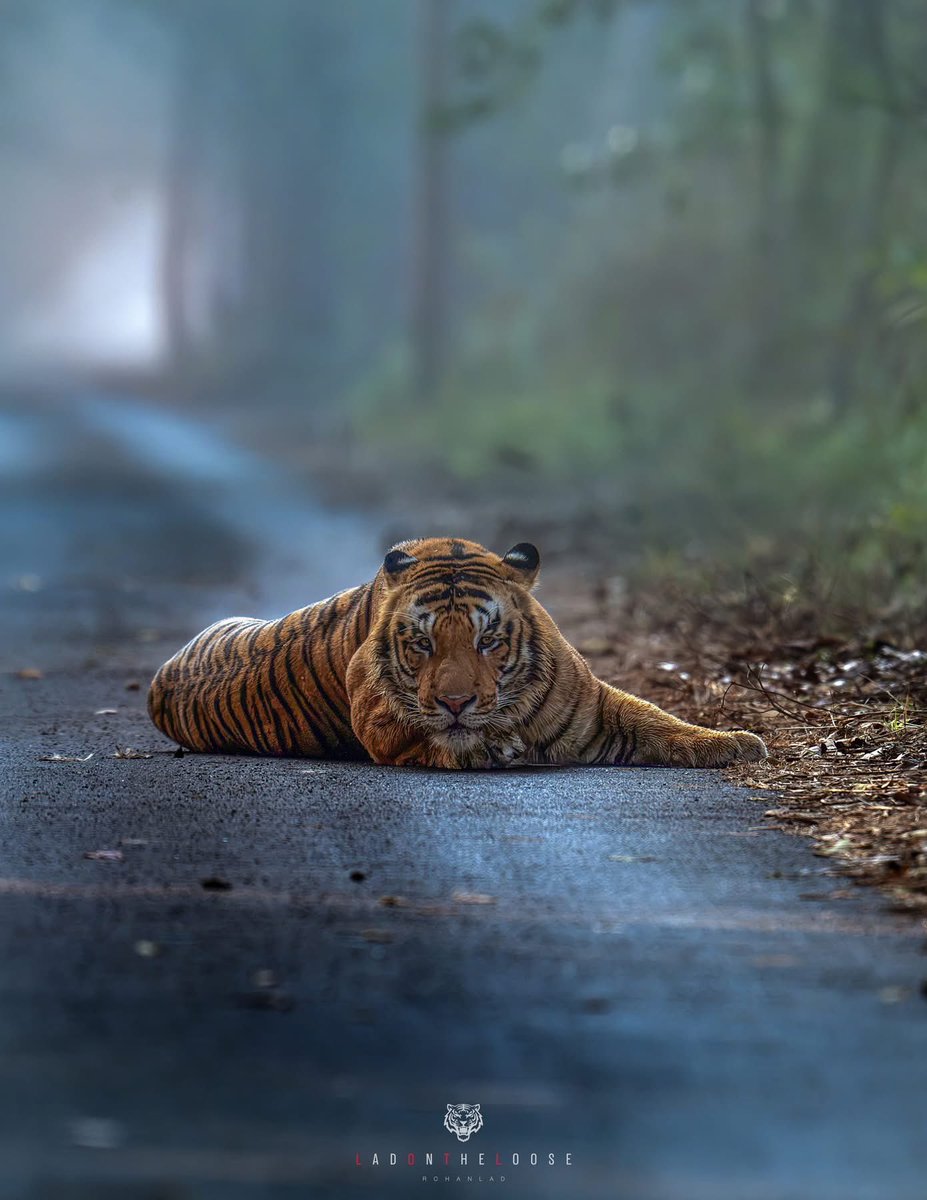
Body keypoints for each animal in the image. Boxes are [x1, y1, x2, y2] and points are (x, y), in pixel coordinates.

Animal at [148, 536, 767, 769]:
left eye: (487, 640)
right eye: (421, 644)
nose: (455, 703)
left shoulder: (593, 710)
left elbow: (657, 717)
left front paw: (735, 743)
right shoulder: (384, 726)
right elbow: (442, 742)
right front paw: (491, 746)